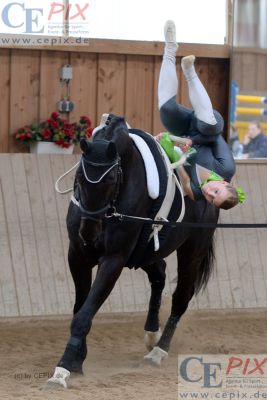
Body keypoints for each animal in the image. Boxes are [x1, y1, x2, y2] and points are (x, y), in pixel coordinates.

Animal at [47, 115, 219, 388]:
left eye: (109, 181)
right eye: (79, 177)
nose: (89, 233)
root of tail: (207, 183)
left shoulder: (113, 260)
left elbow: (84, 314)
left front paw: (63, 368)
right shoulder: (78, 256)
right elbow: (80, 307)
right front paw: (77, 359)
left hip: (192, 250)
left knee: (181, 297)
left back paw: (158, 351)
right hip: (146, 252)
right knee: (159, 274)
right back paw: (151, 334)